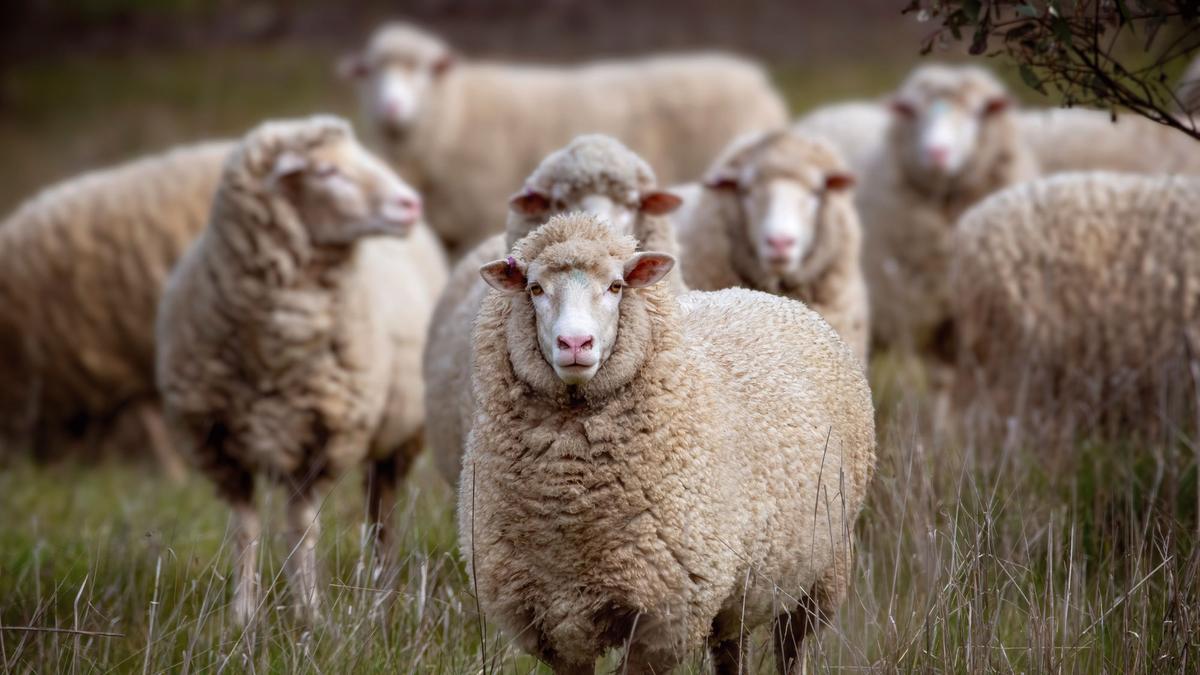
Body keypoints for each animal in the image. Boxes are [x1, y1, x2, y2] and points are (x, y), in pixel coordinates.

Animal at [156, 115, 447, 624]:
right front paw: (243, 616)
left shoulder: (322, 439)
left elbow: (301, 530)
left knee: (384, 513)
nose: (410, 203)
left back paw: (384, 590)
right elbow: (245, 529)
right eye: (327, 171)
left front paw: (311, 614)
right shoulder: (220, 447)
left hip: (398, 436)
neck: (274, 348)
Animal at [338, 21, 787, 257]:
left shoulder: (473, 218)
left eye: (424, 70)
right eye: (372, 72)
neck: (454, 111)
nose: (391, 106)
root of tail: (757, 80)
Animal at [459, 213, 876, 674]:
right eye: (535, 288)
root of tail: (765, 296)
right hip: (739, 589)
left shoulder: (663, 617)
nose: (575, 344)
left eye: (616, 286)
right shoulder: (555, 622)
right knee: (732, 648)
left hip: (821, 572)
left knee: (792, 648)